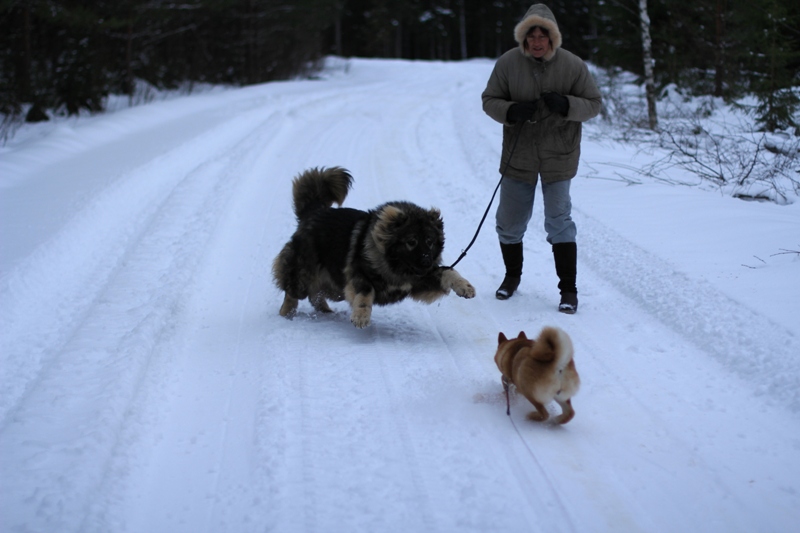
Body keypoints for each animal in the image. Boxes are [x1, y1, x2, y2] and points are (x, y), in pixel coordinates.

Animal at [276, 166, 476, 326]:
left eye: (430, 241)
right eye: (411, 242)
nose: (427, 262)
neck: (395, 266)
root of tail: (314, 212)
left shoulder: (420, 281)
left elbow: (448, 272)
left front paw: (465, 287)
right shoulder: (358, 275)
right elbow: (365, 293)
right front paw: (361, 316)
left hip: (335, 285)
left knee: (315, 295)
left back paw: (326, 312)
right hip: (304, 272)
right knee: (293, 292)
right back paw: (286, 314)